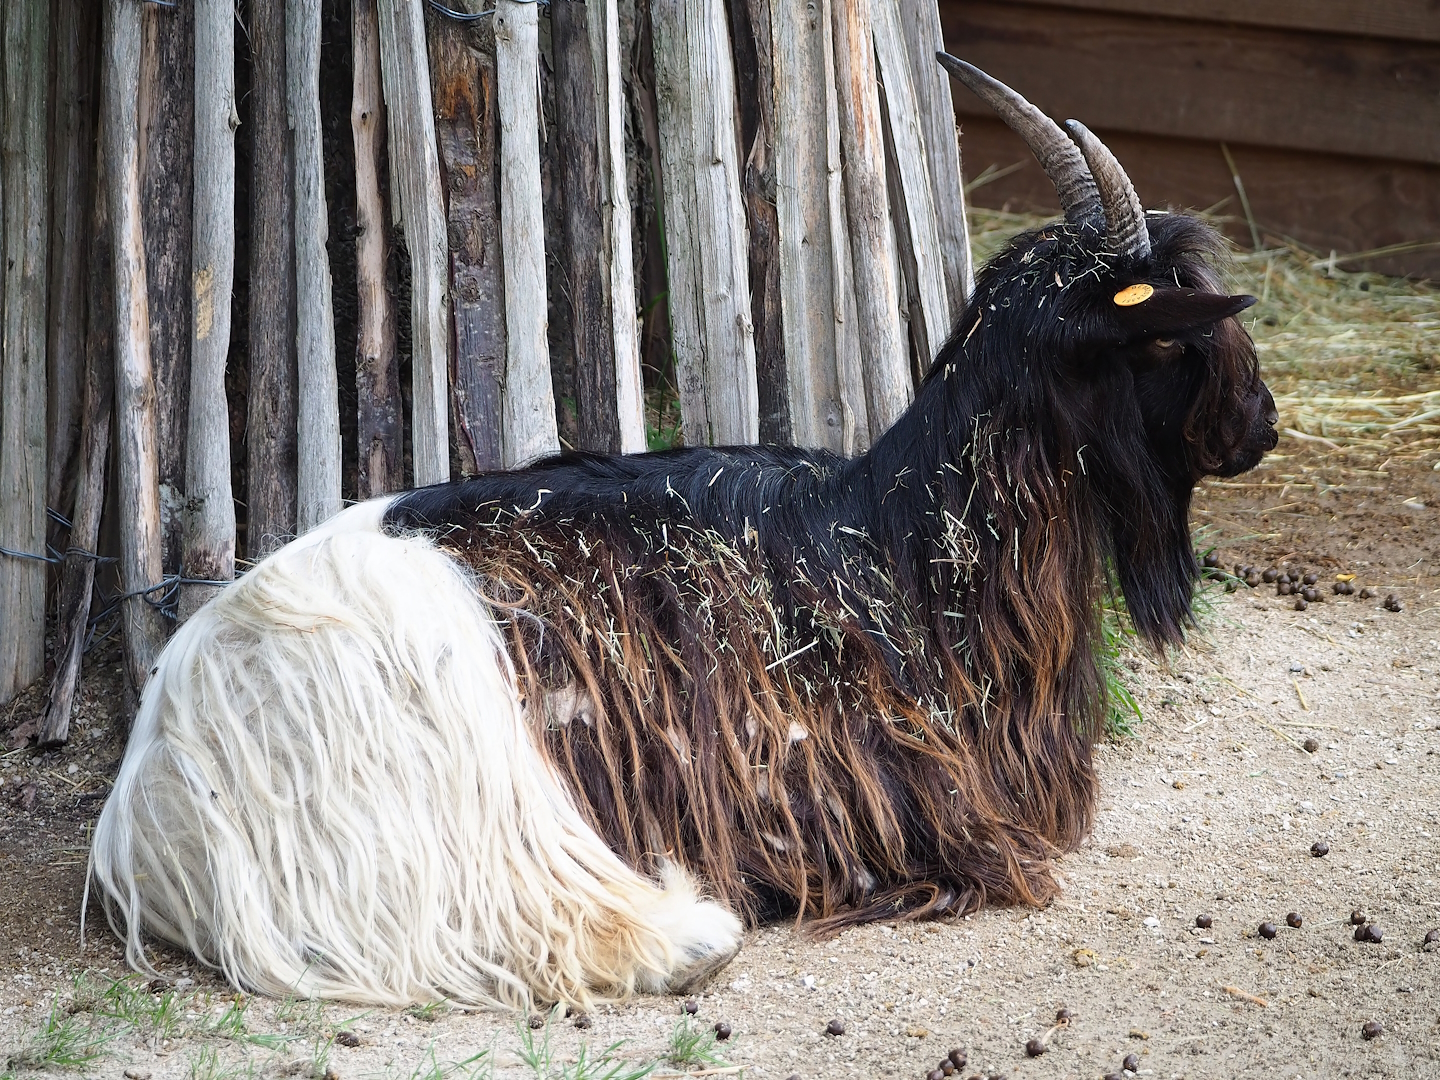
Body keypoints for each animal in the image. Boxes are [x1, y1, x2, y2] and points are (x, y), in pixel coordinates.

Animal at [89, 58, 1278, 1009]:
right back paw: (690, 931)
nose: (1261, 426)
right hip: (470, 790)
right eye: (1170, 338)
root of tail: (157, 795)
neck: (902, 542)